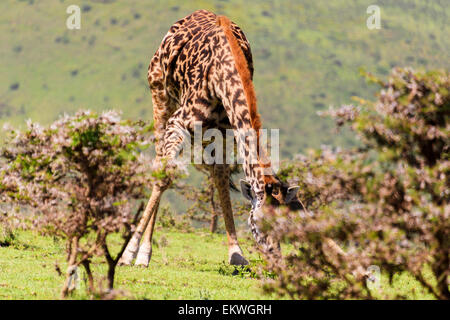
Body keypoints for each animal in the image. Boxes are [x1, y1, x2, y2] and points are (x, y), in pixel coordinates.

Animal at [118, 10, 298, 268]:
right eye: (260, 223)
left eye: (286, 223)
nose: (276, 261)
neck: (224, 74)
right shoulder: (178, 122)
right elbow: (165, 177)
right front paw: (129, 253)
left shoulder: (224, 130)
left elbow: (221, 177)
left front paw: (236, 253)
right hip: (160, 96)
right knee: (158, 164)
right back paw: (142, 253)